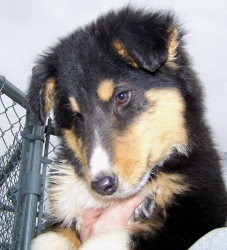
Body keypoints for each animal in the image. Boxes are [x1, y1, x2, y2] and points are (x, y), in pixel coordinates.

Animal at [27, 6, 227, 250]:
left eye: (121, 96)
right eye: (76, 116)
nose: (102, 185)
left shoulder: (196, 215)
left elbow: (118, 237)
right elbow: (50, 238)